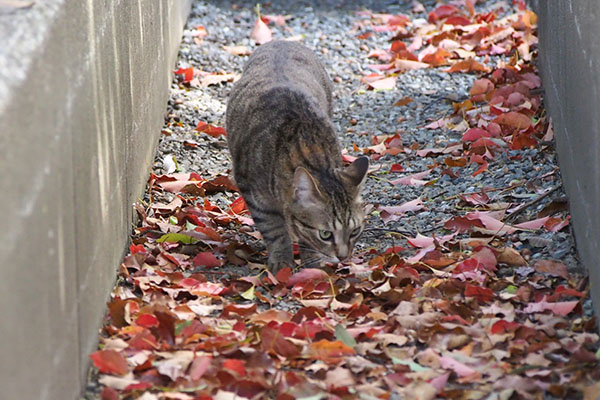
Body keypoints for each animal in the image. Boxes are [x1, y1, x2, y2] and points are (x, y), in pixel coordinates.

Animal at [225, 39, 368, 272]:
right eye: (326, 234)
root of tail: (281, 41)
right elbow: (275, 230)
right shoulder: (254, 195)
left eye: (355, 231)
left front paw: (312, 264)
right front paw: (282, 260)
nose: (343, 257)